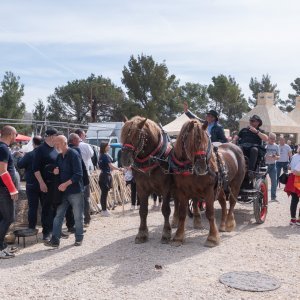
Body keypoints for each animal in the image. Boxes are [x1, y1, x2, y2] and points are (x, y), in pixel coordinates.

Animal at [120, 116, 173, 245]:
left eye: (136, 136)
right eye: (123, 135)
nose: (124, 159)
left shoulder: (166, 188)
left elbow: (166, 210)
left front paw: (166, 233)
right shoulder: (141, 188)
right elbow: (143, 211)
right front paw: (142, 233)